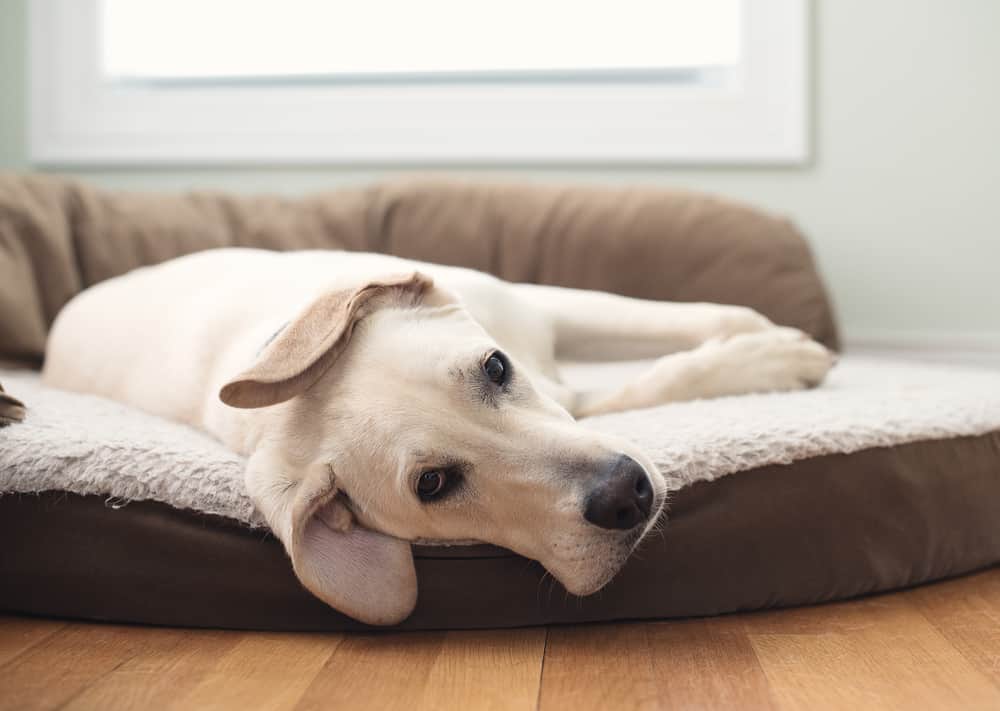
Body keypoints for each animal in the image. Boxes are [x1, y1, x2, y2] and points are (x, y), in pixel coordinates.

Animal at [41, 249, 836, 624]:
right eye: (434, 484)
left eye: (495, 367)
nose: (626, 496)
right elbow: (648, 383)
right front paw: (770, 361)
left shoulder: (540, 316)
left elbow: (686, 321)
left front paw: (771, 344)